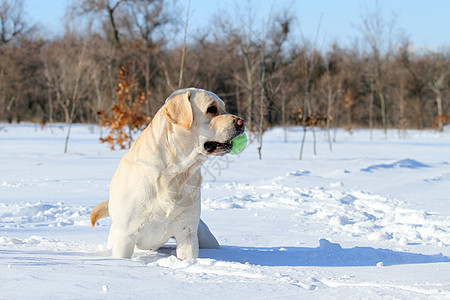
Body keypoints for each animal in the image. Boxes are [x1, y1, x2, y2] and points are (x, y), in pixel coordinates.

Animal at [91, 88, 244, 258]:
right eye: (211, 109)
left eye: (224, 107)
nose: (242, 122)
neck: (177, 172)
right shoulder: (125, 236)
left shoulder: (187, 233)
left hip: (206, 237)